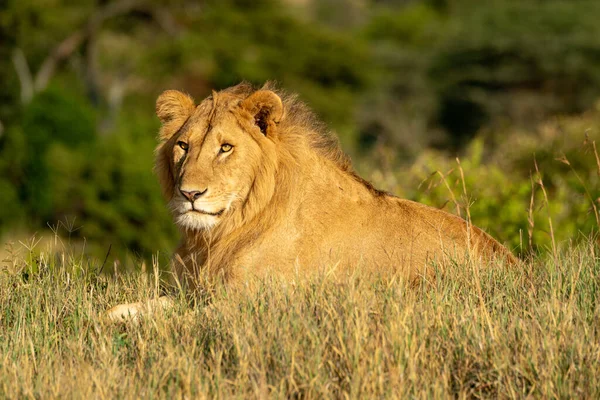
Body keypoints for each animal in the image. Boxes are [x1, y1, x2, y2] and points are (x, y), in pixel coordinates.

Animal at [106, 83, 516, 320]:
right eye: (183, 146)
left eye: (225, 148)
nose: (190, 194)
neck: (220, 234)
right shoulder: (189, 291)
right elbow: (120, 311)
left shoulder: (249, 303)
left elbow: (177, 321)